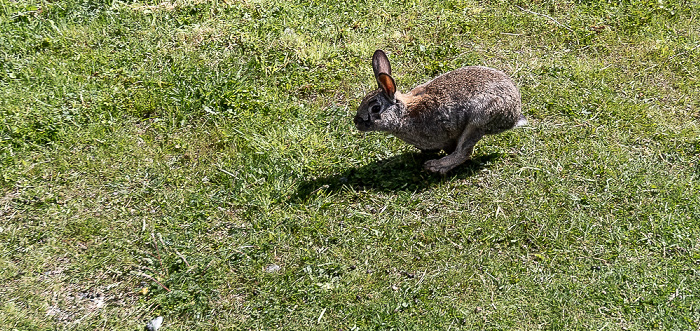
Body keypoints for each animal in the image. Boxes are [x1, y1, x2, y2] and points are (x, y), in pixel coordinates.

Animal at [352, 50, 528, 175]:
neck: (404, 114)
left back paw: (436, 166)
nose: (356, 122)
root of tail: (514, 113)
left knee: (464, 151)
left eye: (375, 108)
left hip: (479, 121)